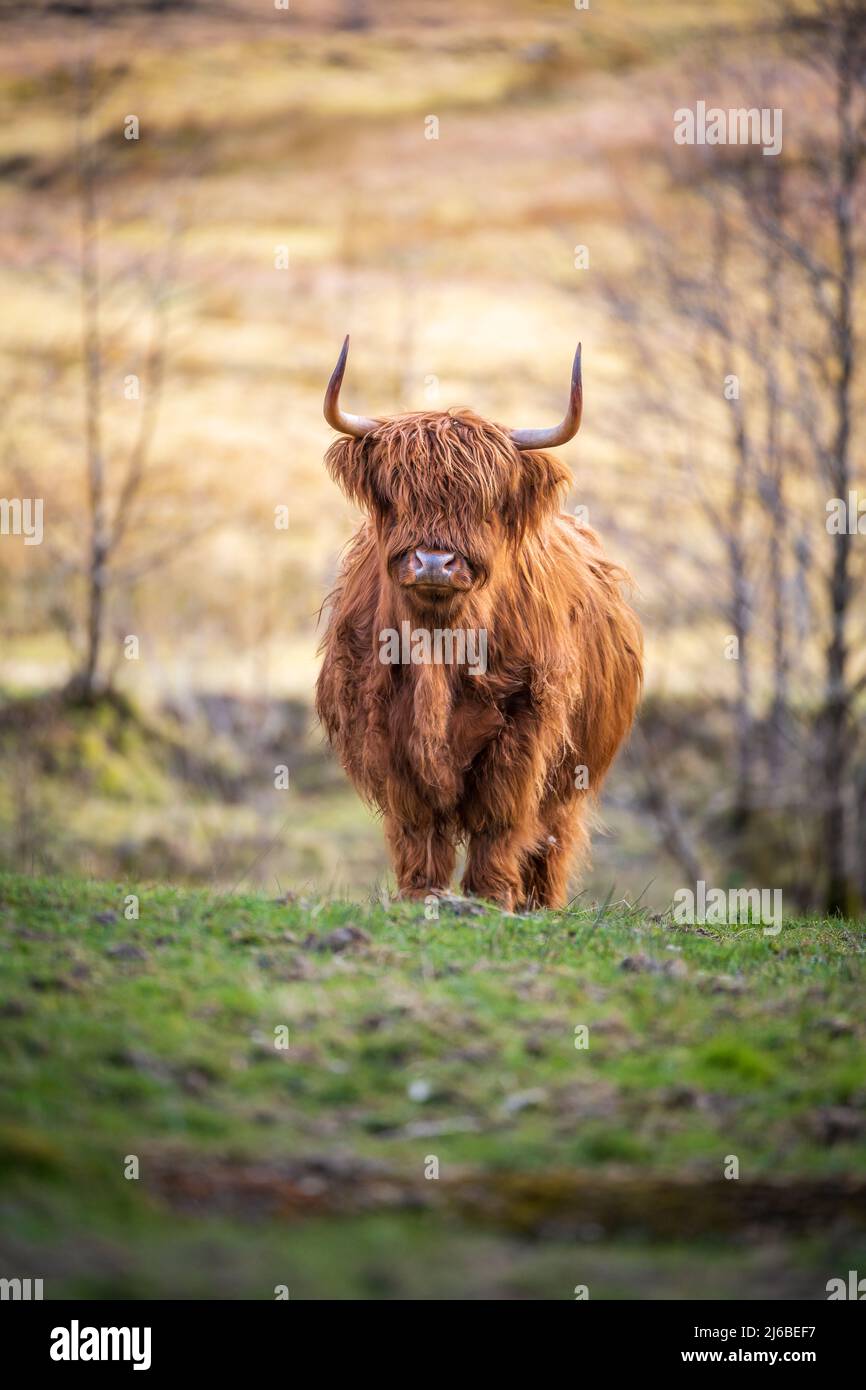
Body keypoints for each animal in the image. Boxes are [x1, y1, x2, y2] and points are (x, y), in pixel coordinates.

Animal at [315, 337, 642, 911]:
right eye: (396, 495)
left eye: (486, 505)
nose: (433, 562)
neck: (440, 648)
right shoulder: (385, 723)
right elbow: (418, 820)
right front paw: (421, 892)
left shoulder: (525, 721)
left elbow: (499, 814)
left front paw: (491, 898)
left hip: (571, 779)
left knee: (551, 841)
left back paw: (538, 904)